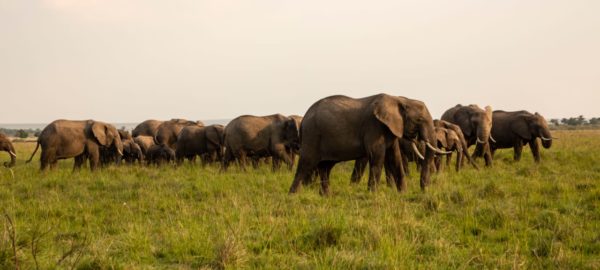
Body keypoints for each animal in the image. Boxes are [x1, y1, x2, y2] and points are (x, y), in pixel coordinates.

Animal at [288, 93, 448, 194]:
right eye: (419, 120)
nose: (425, 190)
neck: (400, 99)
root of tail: (303, 119)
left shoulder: (391, 128)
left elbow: (395, 157)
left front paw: (403, 193)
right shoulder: (374, 126)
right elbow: (377, 156)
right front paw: (373, 194)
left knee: (325, 167)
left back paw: (326, 196)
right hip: (312, 135)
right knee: (306, 164)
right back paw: (293, 195)